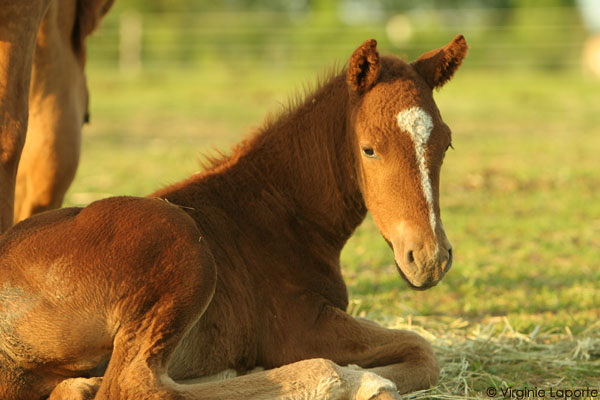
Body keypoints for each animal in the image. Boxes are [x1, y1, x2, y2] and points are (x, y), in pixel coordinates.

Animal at [0, 35, 468, 400]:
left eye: (446, 144)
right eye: (369, 148)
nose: (429, 258)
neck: (279, 210)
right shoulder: (300, 327)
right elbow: (421, 349)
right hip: (181, 243)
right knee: (134, 383)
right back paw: (352, 381)